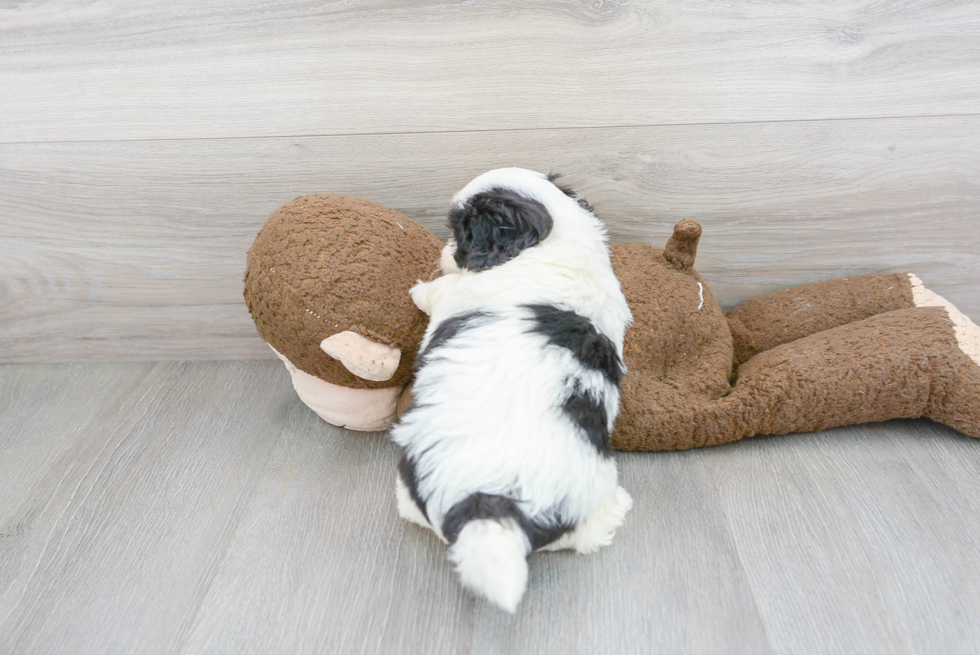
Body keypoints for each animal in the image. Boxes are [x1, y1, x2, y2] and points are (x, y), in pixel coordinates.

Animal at [390, 167, 636, 612]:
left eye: (463, 233)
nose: (445, 249)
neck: (557, 243)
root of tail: (497, 502)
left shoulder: (457, 292)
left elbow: (437, 292)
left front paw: (419, 288)